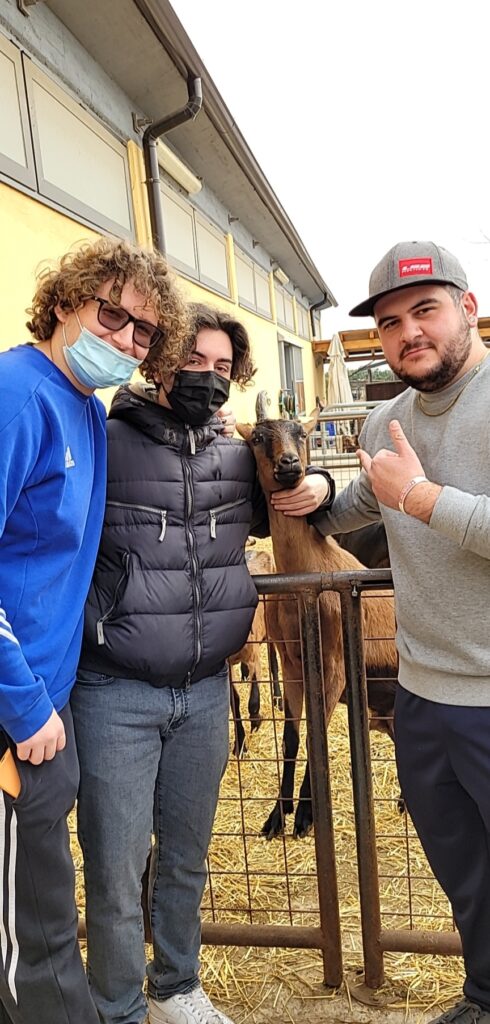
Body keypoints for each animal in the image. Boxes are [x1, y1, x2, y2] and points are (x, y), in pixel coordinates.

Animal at [237, 415, 398, 839]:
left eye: (301, 433)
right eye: (257, 437)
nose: (289, 464)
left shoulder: (336, 668)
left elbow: (315, 735)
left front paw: (307, 816)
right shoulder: (295, 666)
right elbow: (293, 736)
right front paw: (278, 814)